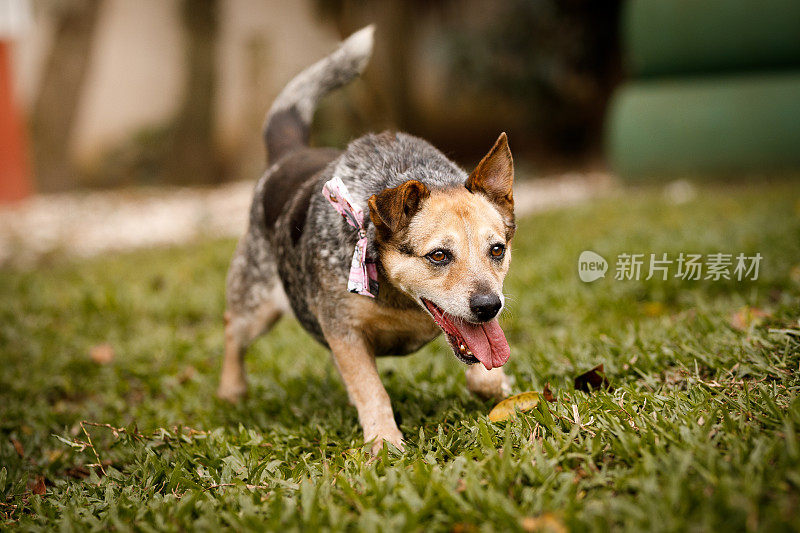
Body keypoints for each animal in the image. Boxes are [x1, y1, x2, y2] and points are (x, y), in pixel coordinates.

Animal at [219, 26, 516, 454]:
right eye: (438, 256)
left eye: (497, 249)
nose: (489, 306)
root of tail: (286, 155)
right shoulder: (343, 331)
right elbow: (371, 388)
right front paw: (384, 442)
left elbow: (485, 372)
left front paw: (498, 387)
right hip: (255, 307)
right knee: (233, 330)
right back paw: (232, 390)